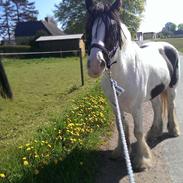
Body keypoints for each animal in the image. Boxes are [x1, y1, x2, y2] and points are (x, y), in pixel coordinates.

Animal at [84, 0, 180, 170]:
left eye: (113, 28)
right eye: (88, 27)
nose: (95, 65)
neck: (122, 73)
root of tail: (167, 46)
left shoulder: (136, 107)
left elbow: (138, 131)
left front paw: (142, 160)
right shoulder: (115, 106)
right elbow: (122, 127)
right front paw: (120, 151)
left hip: (171, 88)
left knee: (170, 106)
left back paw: (173, 130)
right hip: (155, 91)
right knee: (157, 107)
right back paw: (154, 133)